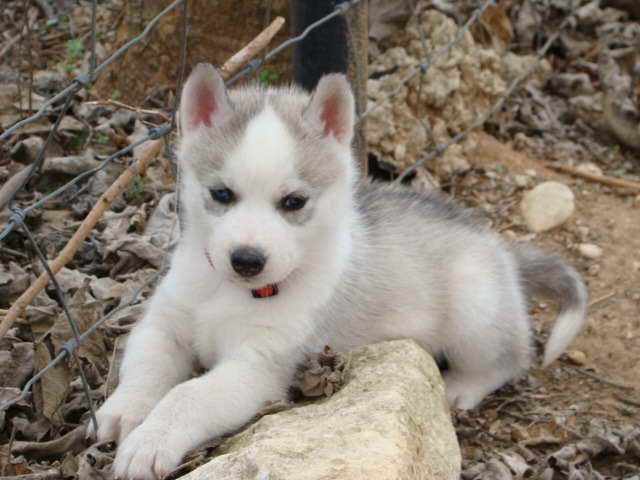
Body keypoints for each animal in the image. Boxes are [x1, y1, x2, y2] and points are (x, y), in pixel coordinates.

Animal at [92, 64, 588, 480]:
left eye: (294, 202)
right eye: (221, 194)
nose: (247, 260)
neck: (230, 292)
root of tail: (497, 244)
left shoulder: (258, 369)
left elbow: (187, 395)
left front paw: (151, 441)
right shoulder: (164, 323)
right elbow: (146, 366)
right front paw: (126, 410)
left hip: (474, 309)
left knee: (510, 358)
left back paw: (462, 387)